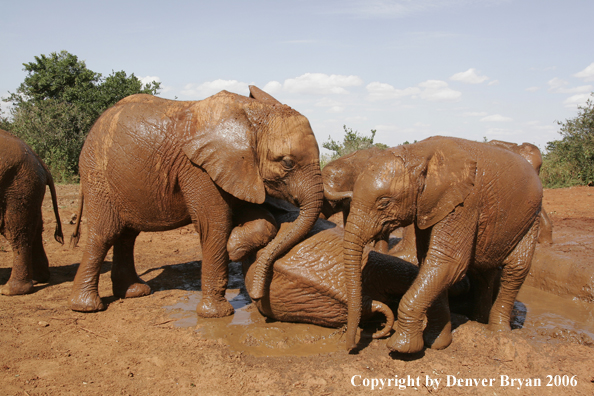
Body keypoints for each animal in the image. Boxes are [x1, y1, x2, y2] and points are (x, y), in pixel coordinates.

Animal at [0, 128, 63, 296]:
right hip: (28, 185)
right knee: (35, 226)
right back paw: (38, 278)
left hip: (18, 184)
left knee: (16, 231)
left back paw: (10, 291)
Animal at [69, 86, 324, 316]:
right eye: (287, 163)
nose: (257, 296)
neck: (251, 116)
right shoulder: (198, 168)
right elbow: (215, 224)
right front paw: (217, 313)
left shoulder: (239, 170)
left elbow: (259, 218)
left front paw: (234, 248)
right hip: (97, 175)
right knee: (105, 233)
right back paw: (87, 307)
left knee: (127, 235)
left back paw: (134, 292)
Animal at [342, 136, 540, 352]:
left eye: (384, 203)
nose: (351, 347)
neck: (419, 153)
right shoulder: (429, 206)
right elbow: (430, 262)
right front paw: (437, 343)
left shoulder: (465, 203)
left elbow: (448, 262)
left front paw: (402, 348)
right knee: (484, 273)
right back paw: (479, 319)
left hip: (531, 217)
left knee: (516, 269)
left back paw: (498, 332)